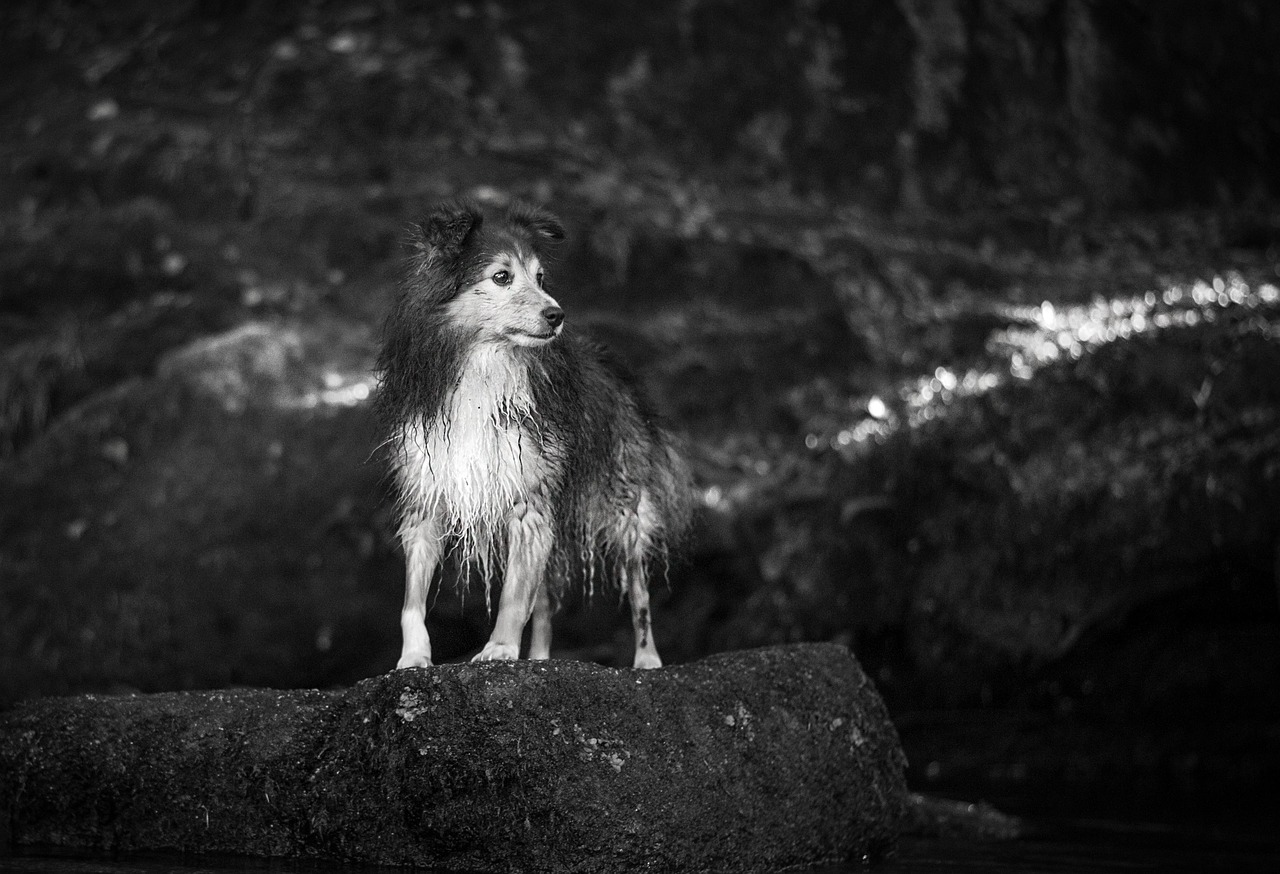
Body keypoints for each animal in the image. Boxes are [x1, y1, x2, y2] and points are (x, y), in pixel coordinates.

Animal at [373, 199, 696, 670]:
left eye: (541, 277)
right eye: (501, 276)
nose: (557, 315)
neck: (483, 368)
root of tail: (610, 364)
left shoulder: (529, 497)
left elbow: (514, 594)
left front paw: (500, 649)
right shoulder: (427, 492)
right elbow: (412, 601)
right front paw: (413, 657)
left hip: (623, 506)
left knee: (637, 591)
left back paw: (647, 660)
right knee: (542, 603)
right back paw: (540, 659)